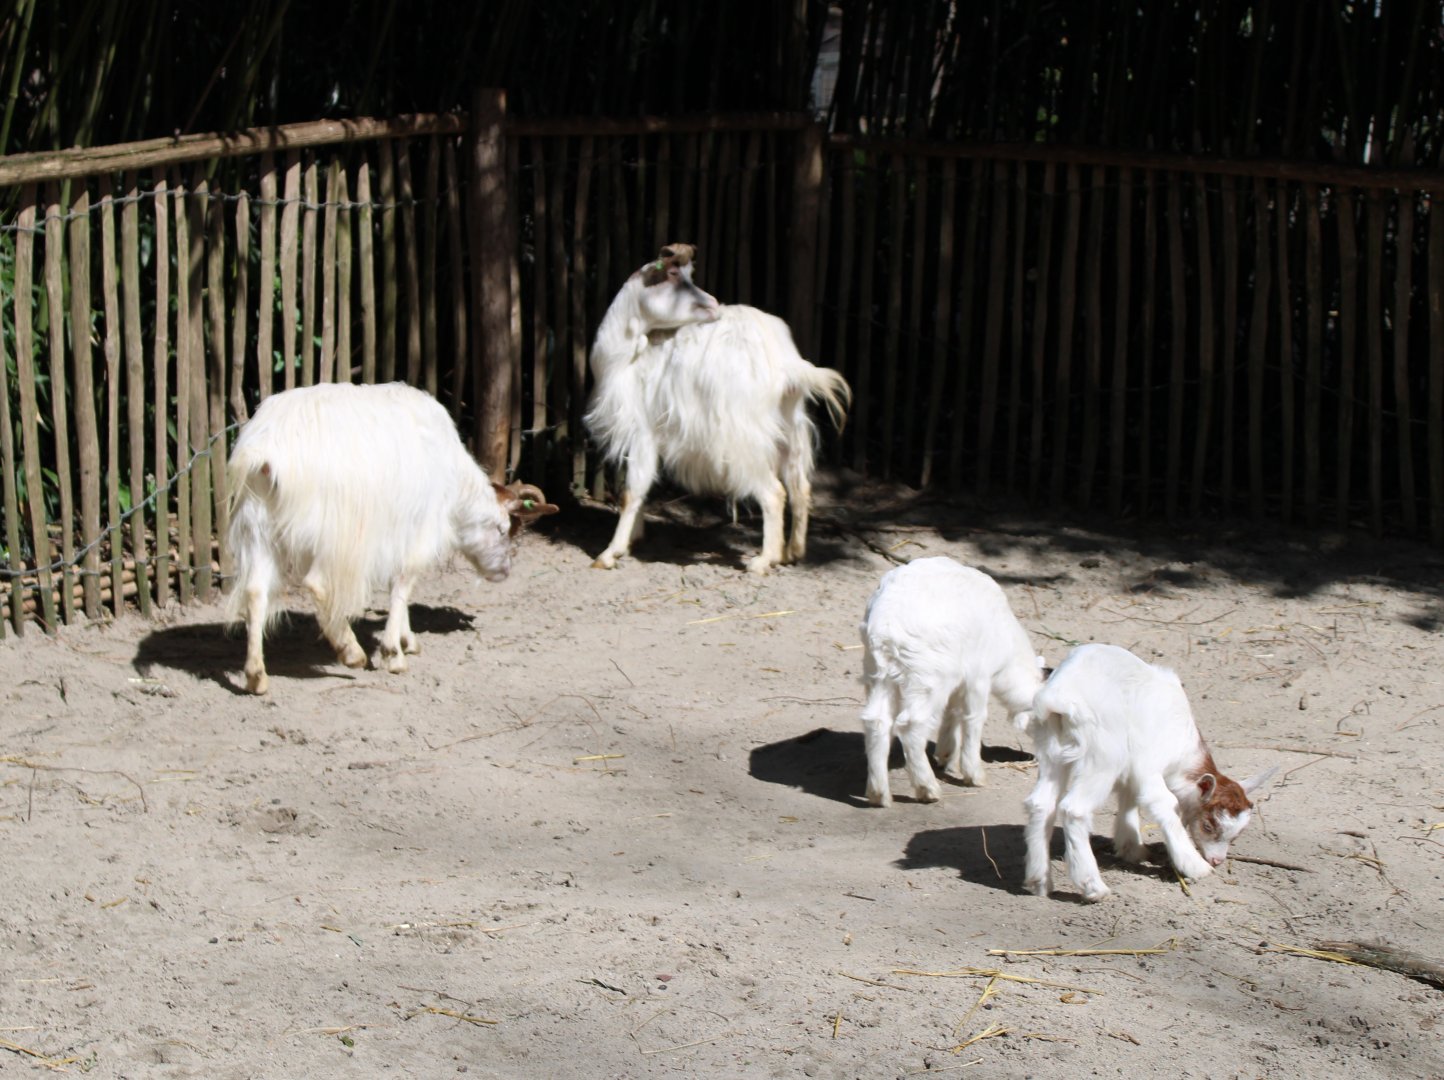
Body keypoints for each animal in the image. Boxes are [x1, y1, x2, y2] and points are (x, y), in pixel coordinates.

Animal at [224, 382, 557, 694]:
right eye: (502, 529)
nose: (504, 572)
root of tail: (267, 453)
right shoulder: (420, 529)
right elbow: (403, 582)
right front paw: (393, 654)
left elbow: (398, 586)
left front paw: (407, 640)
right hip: (335, 536)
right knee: (318, 585)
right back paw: (351, 652)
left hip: (257, 525)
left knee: (254, 592)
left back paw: (256, 676)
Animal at [584, 244, 851, 574]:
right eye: (674, 275)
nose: (713, 304)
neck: (623, 358)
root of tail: (785, 363)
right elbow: (641, 493)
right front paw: (635, 537)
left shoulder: (642, 431)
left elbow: (631, 492)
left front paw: (611, 552)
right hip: (790, 428)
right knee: (800, 487)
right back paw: (793, 552)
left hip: (742, 441)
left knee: (774, 493)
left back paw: (764, 560)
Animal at [859, 557, 1044, 806]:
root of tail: (885, 626)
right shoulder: (978, 675)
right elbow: (974, 717)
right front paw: (973, 773)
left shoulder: (961, 680)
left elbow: (953, 713)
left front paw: (946, 755)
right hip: (928, 676)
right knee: (910, 725)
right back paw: (927, 788)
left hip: (878, 671)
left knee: (876, 721)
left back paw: (879, 794)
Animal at [1022, 643, 1277, 901]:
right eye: (1208, 825)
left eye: (1236, 835)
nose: (1217, 860)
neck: (1184, 748)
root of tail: (1060, 696)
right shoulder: (1149, 763)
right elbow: (1165, 802)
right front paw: (1194, 866)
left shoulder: (1132, 771)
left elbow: (1130, 800)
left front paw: (1132, 849)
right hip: (1103, 755)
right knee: (1074, 809)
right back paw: (1093, 887)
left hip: (1052, 750)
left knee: (1040, 803)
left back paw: (1039, 882)